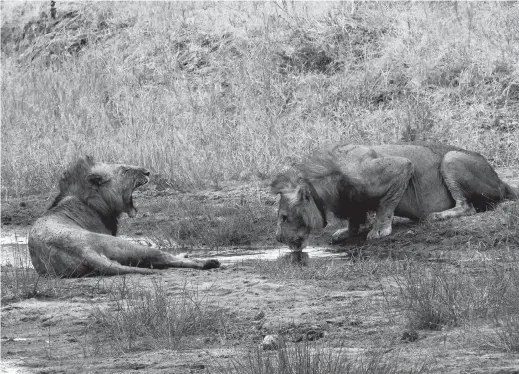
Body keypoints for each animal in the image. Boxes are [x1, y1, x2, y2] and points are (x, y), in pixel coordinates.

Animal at [29, 156, 219, 276]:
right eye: (126, 170)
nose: (148, 172)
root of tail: (83, 251)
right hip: (123, 245)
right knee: (162, 256)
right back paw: (207, 262)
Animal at [272, 142, 519, 250]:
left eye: (284, 217)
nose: (278, 239)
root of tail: (501, 180)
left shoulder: (399, 167)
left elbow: (386, 205)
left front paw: (380, 230)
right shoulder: (353, 204)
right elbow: (354, 219)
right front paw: (346, 232)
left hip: (450, 158)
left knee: (467, 206)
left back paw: (437, 216)